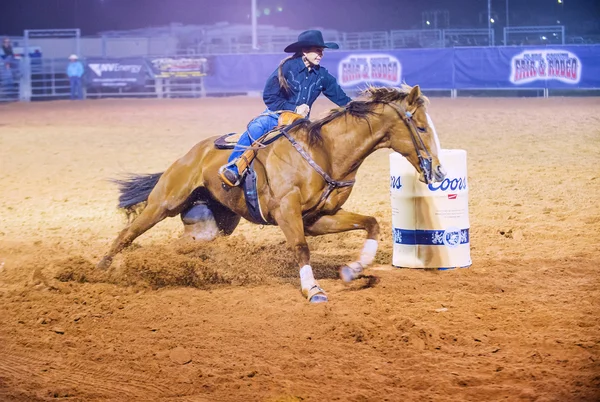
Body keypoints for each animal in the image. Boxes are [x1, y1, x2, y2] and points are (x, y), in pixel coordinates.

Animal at [98, 85, 446, 304]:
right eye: (422, 128)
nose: (439, 171)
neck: (326, 151)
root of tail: (192, 153)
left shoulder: (318, 218)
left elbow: (371, 223)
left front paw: (353, 269)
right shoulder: (286, 211)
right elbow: (301, 248)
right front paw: (313, 290)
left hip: (211, 224)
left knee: (183, 245)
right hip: (164, 202)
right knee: (127, 234)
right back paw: (100, 267)